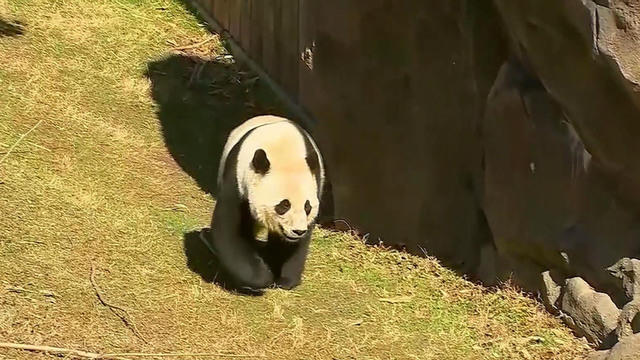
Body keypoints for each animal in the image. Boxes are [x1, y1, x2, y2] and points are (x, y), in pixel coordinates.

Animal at [209, 115, 324, 292]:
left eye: (307, 207)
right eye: (284, 205)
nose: (298, 231)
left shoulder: (314, 184)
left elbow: (293, 247)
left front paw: (285, 280)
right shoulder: (238, 178)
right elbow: (230, 230)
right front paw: (262, 277)